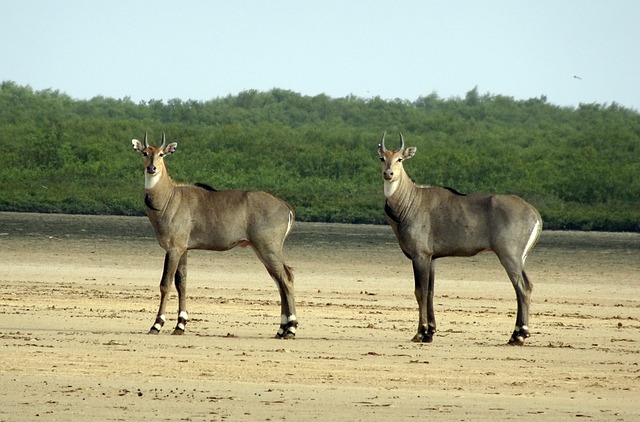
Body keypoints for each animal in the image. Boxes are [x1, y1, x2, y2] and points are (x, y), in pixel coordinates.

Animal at [134, 134, 298, 338]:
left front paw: (156, 325)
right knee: (280, 281)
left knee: (286, 278)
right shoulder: (184, 249)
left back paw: (291, 329)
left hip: (269, 248)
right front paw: (180, 325)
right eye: (144, 153)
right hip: (263, 251)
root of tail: (285, 206)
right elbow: (182, 283)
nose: (151, 168)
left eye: (161, 154)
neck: (168, 198)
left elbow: (165, 283)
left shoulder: (173, 248)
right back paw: (281, 329)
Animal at [378, 134, 544, 344]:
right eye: (382, 158)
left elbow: (420, 291)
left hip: (509, 256)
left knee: (522, 287)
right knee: (526, 286)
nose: (388, 173)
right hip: (520, 258)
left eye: (400, 159)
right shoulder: (432, 258)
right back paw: (518, 334)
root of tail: (535, 214)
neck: (410, 201)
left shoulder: (420, 256)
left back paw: (519, 335)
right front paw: (430, 332)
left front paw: (420, 333)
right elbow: (430, 292)